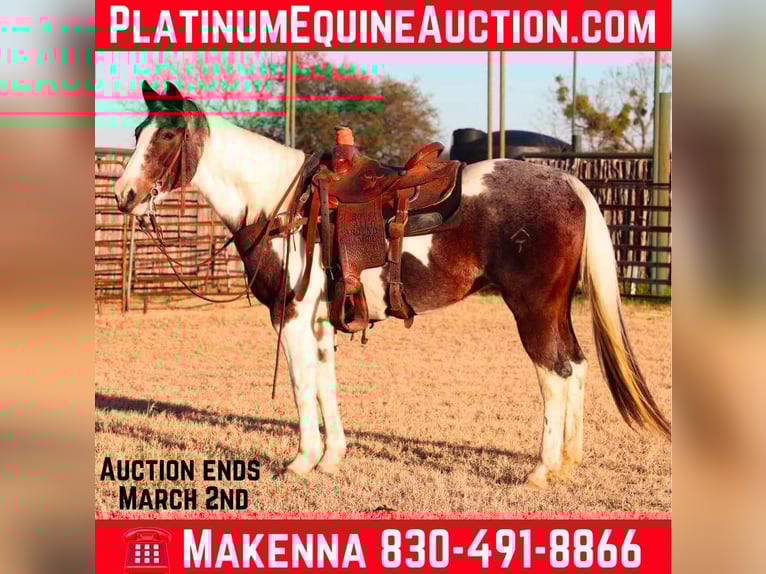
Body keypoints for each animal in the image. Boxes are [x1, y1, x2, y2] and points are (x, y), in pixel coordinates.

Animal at [114, 81, 670, 489]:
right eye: (138, 130)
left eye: (165, 136)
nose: (124, 194)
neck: (282, 205)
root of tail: (568, 182)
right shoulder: (320, 320)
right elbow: (326, 384)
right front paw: (331, 458)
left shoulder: (289, 316)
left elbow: (300, 385)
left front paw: (301, 461)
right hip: (556, 307)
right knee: (576, 366)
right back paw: (570, 460)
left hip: (532, 308)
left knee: (554, 374)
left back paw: (540, 469)